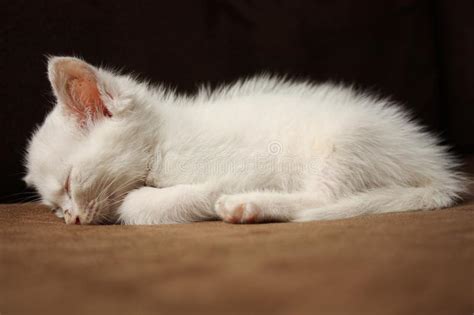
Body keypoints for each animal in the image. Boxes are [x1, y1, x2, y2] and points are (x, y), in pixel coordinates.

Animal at [24, 56, 464, 225]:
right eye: (55, 208)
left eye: (70, 184)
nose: (72, 219)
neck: (163, 140)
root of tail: (436, 170)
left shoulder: (250, 163)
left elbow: (138, 205)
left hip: (346, 141)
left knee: (323, 198)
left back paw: (247, 205)